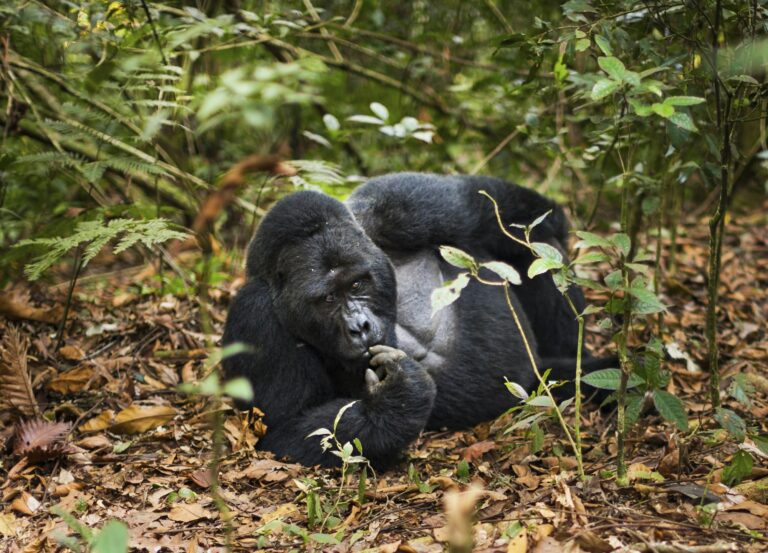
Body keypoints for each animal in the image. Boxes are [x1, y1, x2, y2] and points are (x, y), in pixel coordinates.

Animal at [220, 171, 612, 466]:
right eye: (328, 298)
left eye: (358, 283)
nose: (360, 327)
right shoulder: (256, 318)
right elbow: (286, 429)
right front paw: (397, 401)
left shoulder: (397, 206)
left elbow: (498, 209)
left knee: (534, 245)